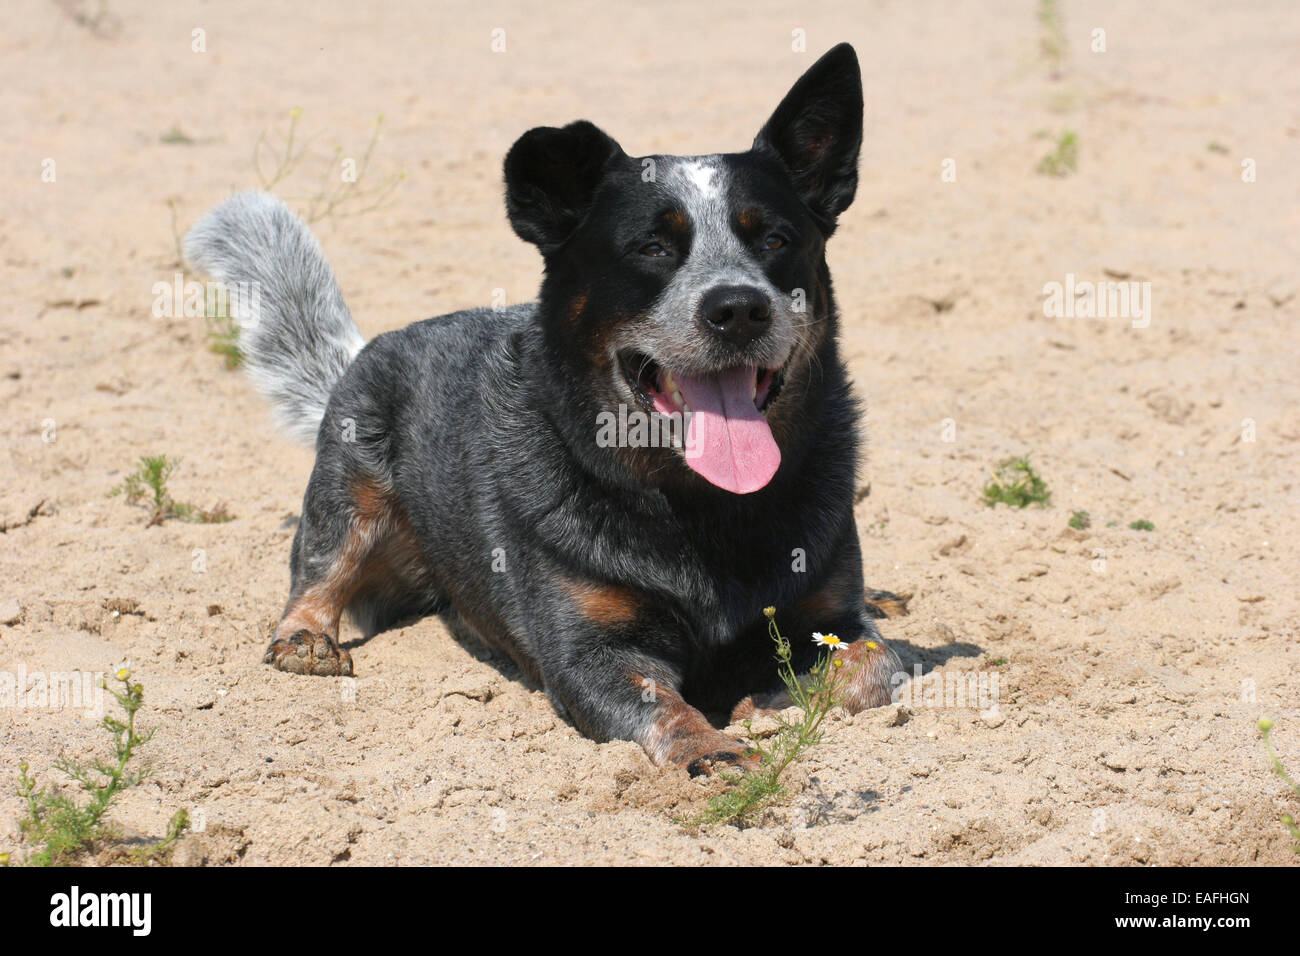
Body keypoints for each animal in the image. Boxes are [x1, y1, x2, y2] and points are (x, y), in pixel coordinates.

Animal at [185, 46, 904, 780]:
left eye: (777, 239)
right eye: (651, 247)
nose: (739, 307)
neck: (701, 506)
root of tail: (364, 349)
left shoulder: (831, 615)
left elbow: (876, 665)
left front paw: (772, 694)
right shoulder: (588, 649)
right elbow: (664, 706)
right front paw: (714, 745)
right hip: (349, 483)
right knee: (318, 567)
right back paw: (303, 638)